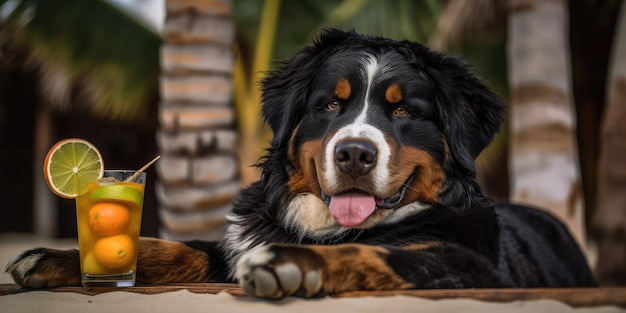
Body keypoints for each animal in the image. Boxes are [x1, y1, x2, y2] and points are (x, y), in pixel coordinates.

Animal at [6, 28, 596, 298]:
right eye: (331, 104)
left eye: (404, 110)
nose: (354, 152)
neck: (324, 225)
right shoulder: (228, 243)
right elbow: (178, 247)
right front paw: (56, 259)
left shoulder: (464, 265)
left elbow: (373, 253)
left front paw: (292, 263)